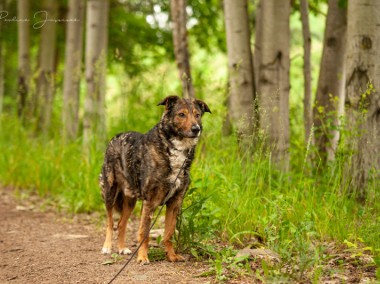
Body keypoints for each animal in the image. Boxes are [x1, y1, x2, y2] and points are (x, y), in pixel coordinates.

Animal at [98, 96, 211, 264]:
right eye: (181, 114)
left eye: (197, 115)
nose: (196, 129)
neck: (174, 148)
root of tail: (115, 137)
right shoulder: (149, 202)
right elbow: (144, 233)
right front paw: (142, 257)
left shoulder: (174, 202)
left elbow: (169, 233)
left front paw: (171, 256)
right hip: (110, 192)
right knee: (110, 221)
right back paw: (107, 246)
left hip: (130, 200)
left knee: (121, 223)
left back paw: (122, 248)